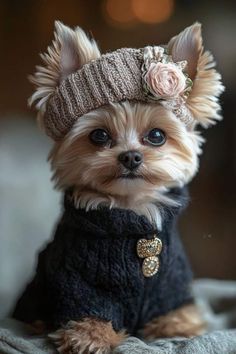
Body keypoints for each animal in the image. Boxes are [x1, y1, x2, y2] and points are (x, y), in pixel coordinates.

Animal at [12, 22, 223, 354]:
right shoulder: (75, 282)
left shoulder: (171, 285)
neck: (130, 213)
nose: (131, 156)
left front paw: (179, 327)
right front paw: (91, 336)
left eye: (157, 136)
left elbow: (176, 315)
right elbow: (86, 308)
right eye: (99, 135)